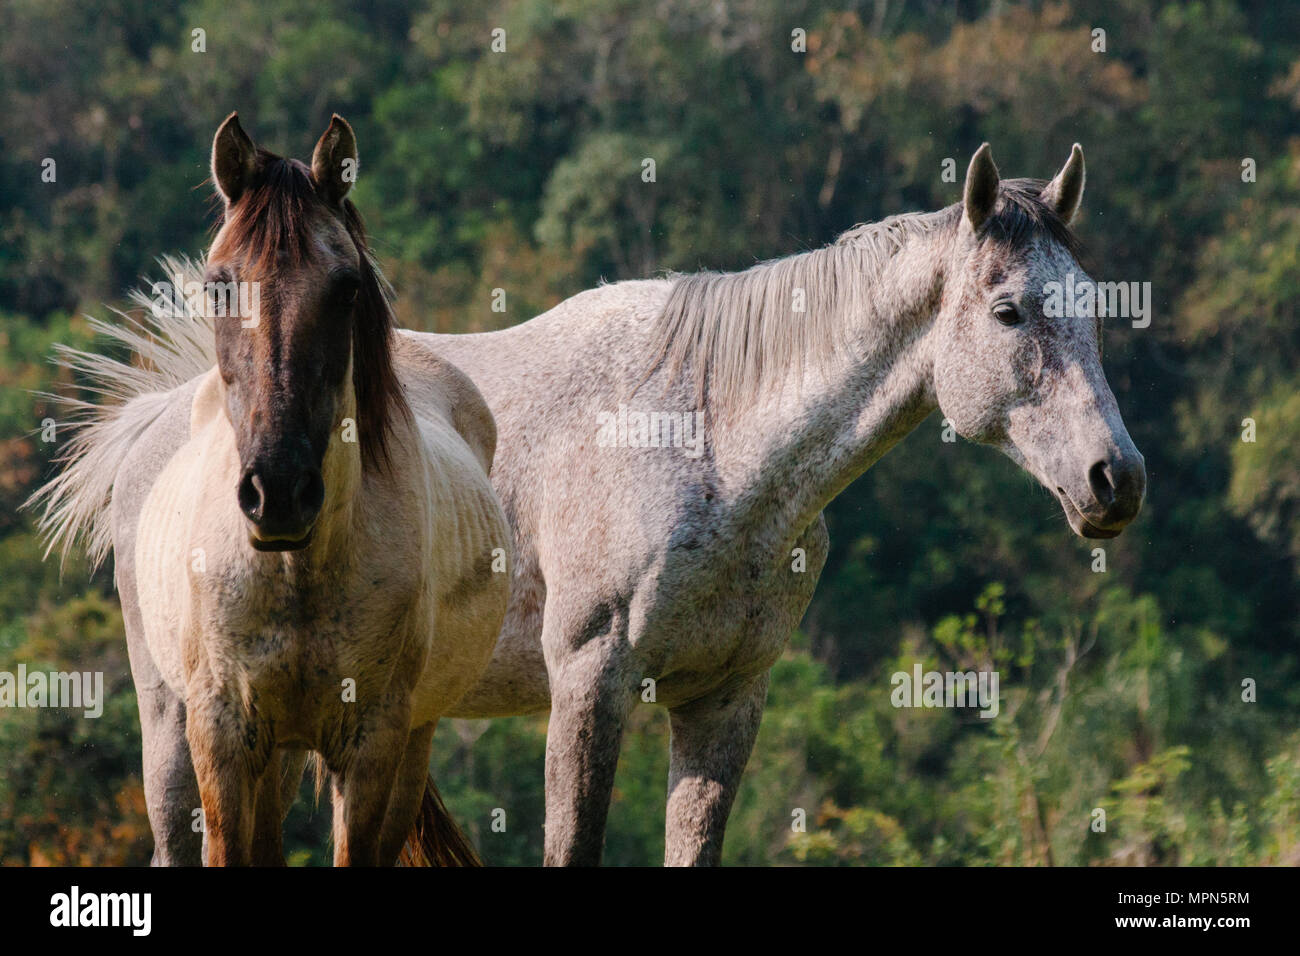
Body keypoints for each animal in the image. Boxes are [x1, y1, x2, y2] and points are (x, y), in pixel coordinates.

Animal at [421, 141, 1144, 868]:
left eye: (1094, 311)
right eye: (1007, 312)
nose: (1118, 478)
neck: (701, 448)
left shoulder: (726, 698)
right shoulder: (588, 683)